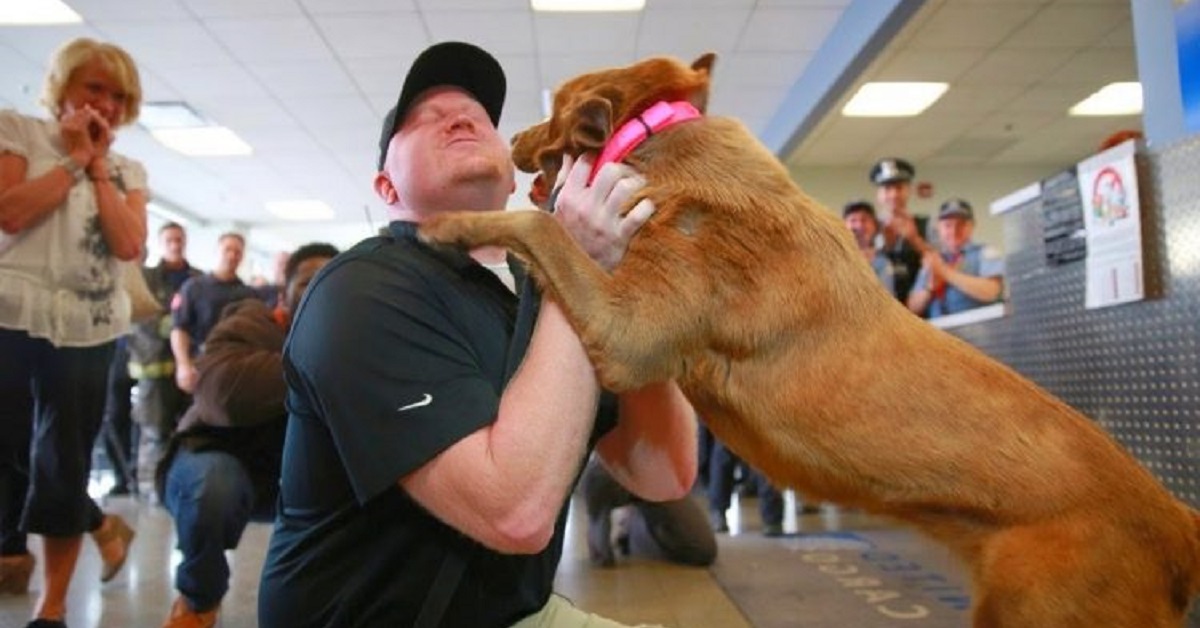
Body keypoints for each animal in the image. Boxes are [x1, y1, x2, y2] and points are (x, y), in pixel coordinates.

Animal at [420, 55, 1200, 628]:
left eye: (552, 107)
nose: (508, 138)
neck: (655, 138)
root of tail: (1177, 524)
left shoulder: (627, 330)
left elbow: (541, 225)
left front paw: (452, 226)